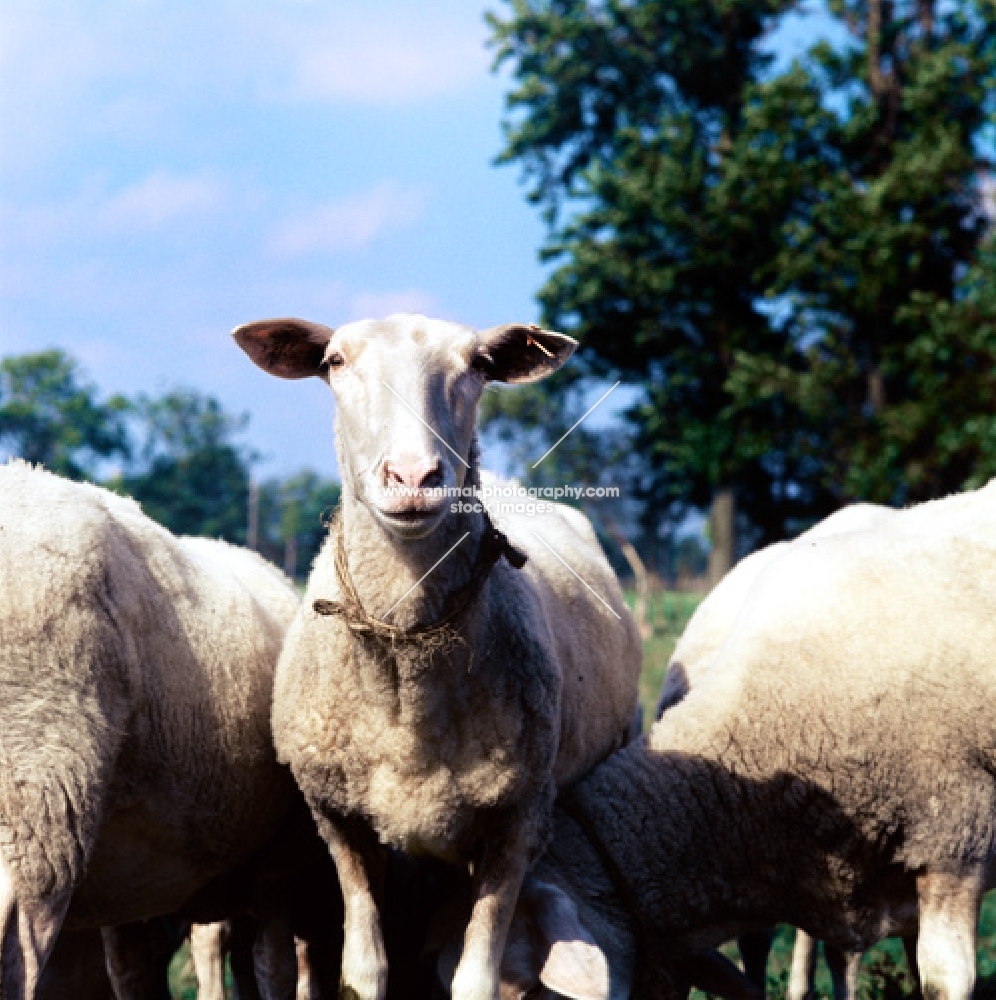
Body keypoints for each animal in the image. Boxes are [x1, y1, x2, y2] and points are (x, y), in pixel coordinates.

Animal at [231, 312, 644, 1000]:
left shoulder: (517, 822)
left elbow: (476, 978)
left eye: (478, 365)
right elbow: (363, 972)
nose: (414, 479)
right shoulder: (339, 823)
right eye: (335, 362)